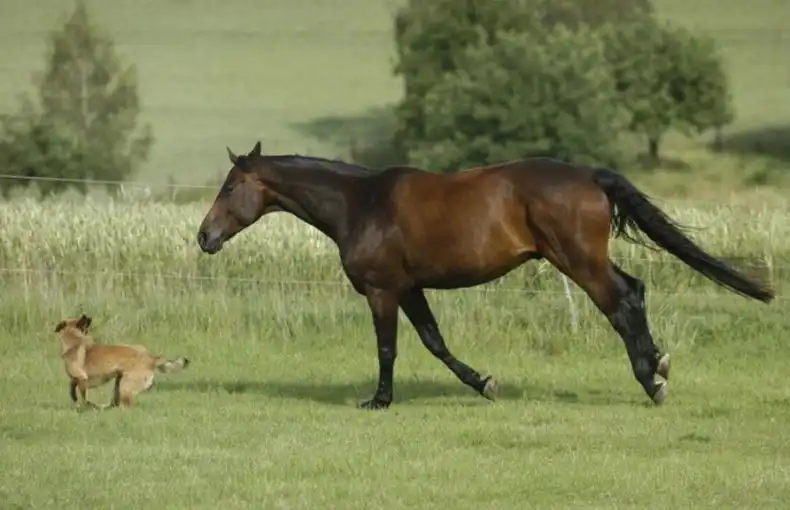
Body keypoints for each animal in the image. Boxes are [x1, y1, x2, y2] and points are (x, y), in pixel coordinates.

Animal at [53, 314, 190, 409]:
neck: (75, 339)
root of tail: (151, 357)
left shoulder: (82, 378)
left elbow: (84, 397)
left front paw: (87, 406)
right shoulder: (79, 379)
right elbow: (72, 384)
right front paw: (74, 397)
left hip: (125, 385)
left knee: (125, 405)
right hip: (119, 381)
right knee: (116, 401)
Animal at [196, 141, 774, 410]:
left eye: (230, 188)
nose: (204, 237)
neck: (362, 204)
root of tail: (589, 176)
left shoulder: (382, 290)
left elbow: (388, 348)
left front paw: (379, 400)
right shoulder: (410, 288)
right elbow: (434, 341)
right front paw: (485, 383)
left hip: (579, 261)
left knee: (623, 302)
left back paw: (652, 379)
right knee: (635, 291)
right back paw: (658, 366)